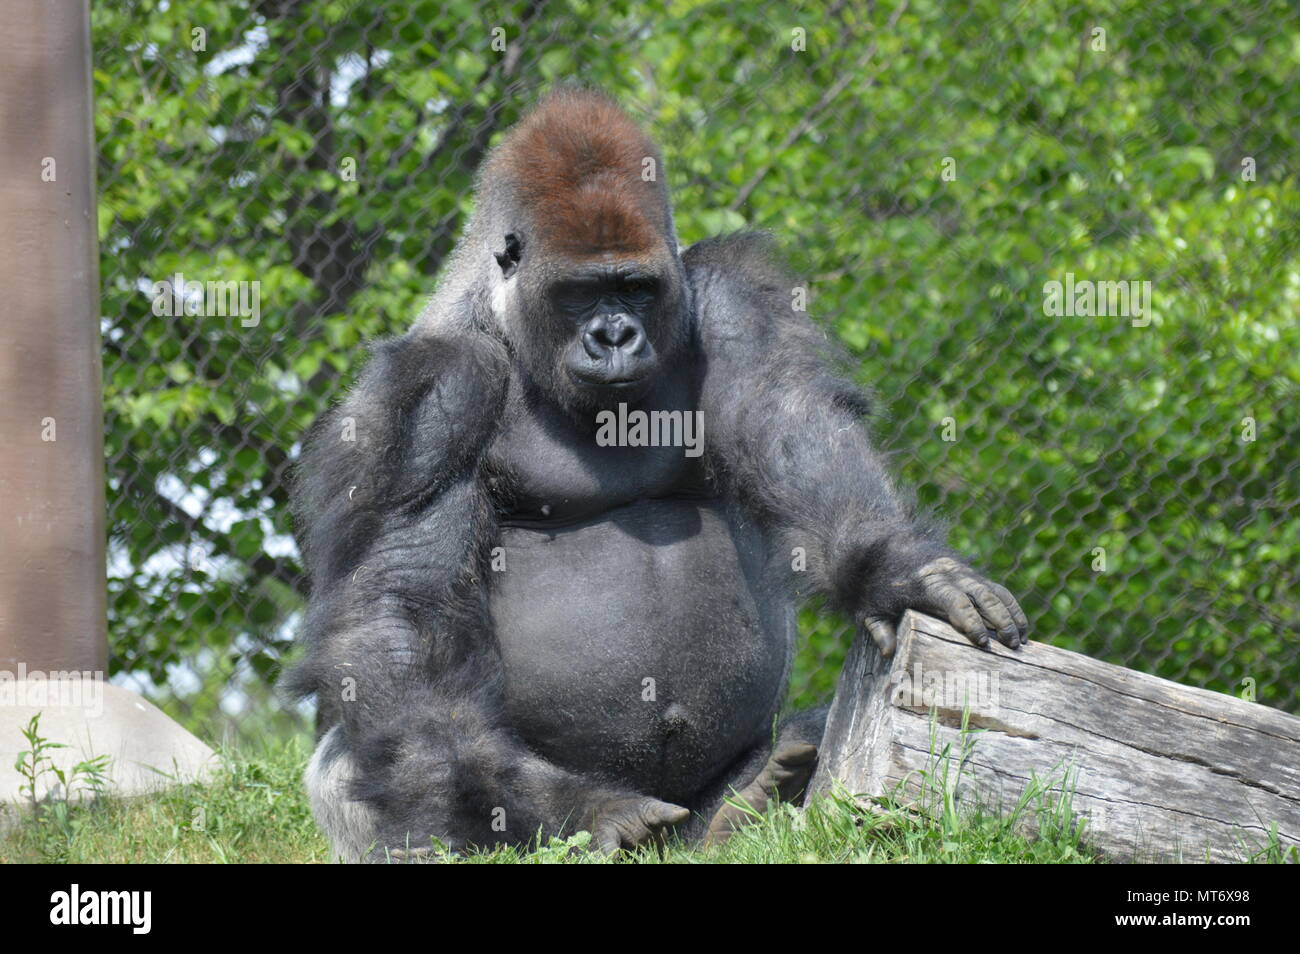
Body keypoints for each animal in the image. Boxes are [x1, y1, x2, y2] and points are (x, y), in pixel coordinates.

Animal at [289, 89, 1029, 863]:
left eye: (637, 288)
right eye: (581, 293)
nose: (614, 336)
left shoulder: (731, 298)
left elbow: (788, 421)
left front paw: (901, 569)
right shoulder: (428, 397)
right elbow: (399, 614)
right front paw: (571, 809)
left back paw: (757, 792)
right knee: (374, 758)